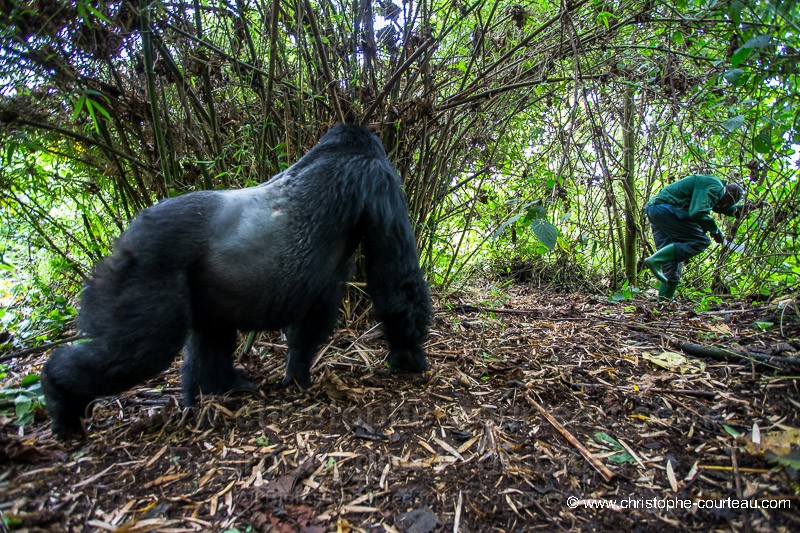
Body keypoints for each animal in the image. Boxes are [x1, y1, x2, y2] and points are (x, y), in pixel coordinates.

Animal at [43, 123, 432, 436]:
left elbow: (316, 313)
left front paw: (297, 371)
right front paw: (409, 356)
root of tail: (125, 239)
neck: (342, 148)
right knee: (138, 354)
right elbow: (396, 283)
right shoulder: (379, 180)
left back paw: (215, 391)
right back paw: (60, 396)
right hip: (143, 269)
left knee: (209, 333)